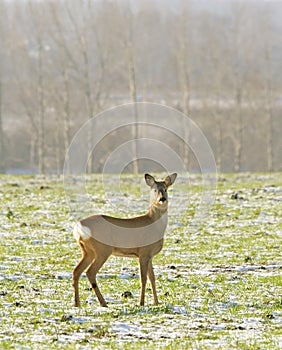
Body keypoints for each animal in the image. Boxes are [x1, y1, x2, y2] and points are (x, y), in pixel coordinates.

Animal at [73, 173, 178, 306]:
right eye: (155, 190)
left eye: (165, 189)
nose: (162, 199)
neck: (154, 224)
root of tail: (78, 227)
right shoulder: (143, 252)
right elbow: (143, 278)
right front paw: (141, 302)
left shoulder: (149, 255)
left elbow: (152, 278)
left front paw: (156, 302)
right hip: (102, 249)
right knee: (90, 272)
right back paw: (103, 303)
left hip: (87, 251)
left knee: (76, 271)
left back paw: (77, 303)